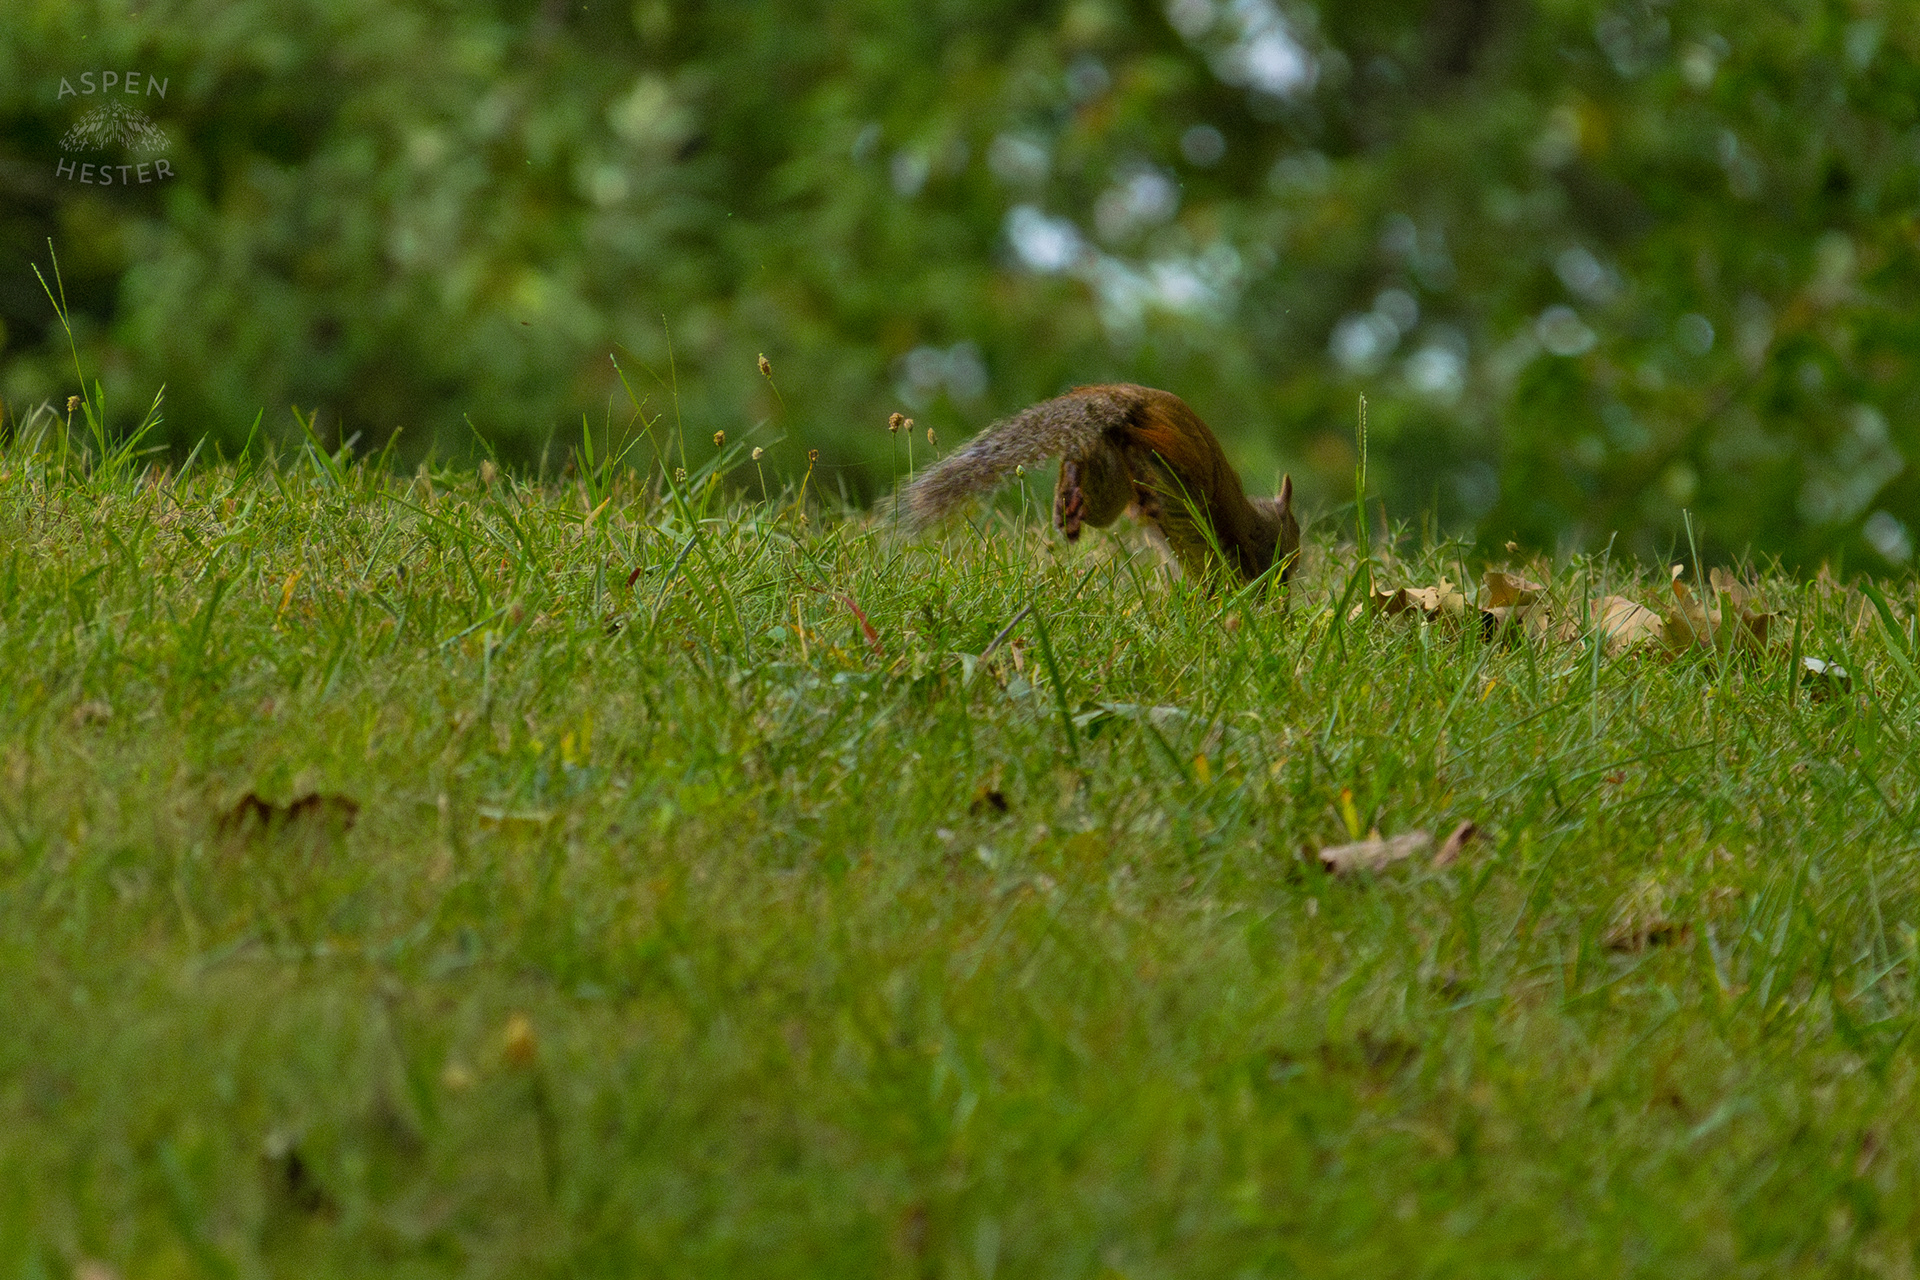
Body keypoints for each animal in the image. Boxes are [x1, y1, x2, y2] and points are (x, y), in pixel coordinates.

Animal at [901, 383, 1299, 586]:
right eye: (1284, 547)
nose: (1283, 586)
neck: (1258, 524)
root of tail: (1136, 399)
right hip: (1177, 463)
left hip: (1104, 475)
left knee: (1090, 487)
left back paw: (1071, 501)